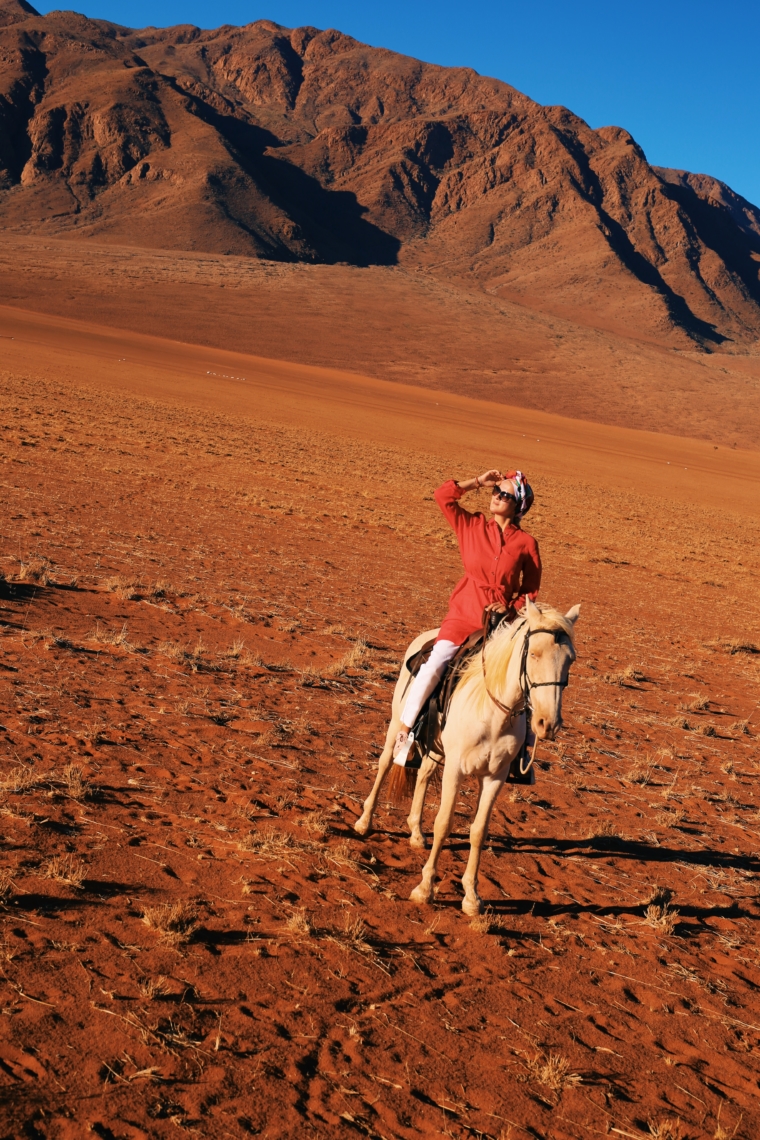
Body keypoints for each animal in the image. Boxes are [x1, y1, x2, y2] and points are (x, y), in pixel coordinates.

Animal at [353, 597, 578, 916]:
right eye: (533, 653)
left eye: (570, 659)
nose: (548, 724)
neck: (492, 712)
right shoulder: (455, 770)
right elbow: (444, 823)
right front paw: (425, 888)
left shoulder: (495, 777)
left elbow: (478, 831)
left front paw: (471, 896)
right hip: (398, 724)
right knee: (385, 763)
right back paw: (364, 821)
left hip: (436, 748)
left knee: (423, 775)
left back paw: (416, 832)